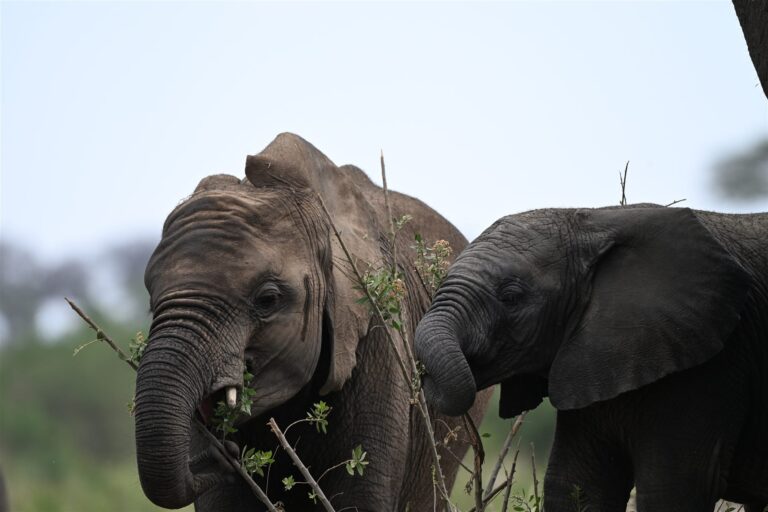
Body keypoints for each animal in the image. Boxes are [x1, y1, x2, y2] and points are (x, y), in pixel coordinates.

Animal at [414, 205, 768, 512]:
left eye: (511, 298)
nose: (423, 376)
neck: (594, 221)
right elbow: (576, 485)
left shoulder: (711, 368)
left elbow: (673, 491)